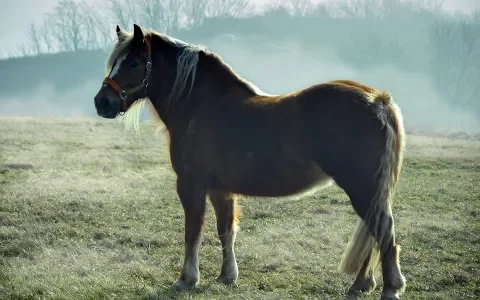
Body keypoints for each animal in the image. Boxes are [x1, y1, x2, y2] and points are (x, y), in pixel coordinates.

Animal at [94, 24, 408, 300]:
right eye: (114, 62)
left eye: (134, 63)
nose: (102, 102)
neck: (201, 104)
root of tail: (378, 100)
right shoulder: (220, 189)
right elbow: (226, 230)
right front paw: (226, 276)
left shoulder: (191, 184)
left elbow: (193, 232)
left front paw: (186, 279)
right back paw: (361, 285)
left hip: (362, 187)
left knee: (385, 233)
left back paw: (390, 288)